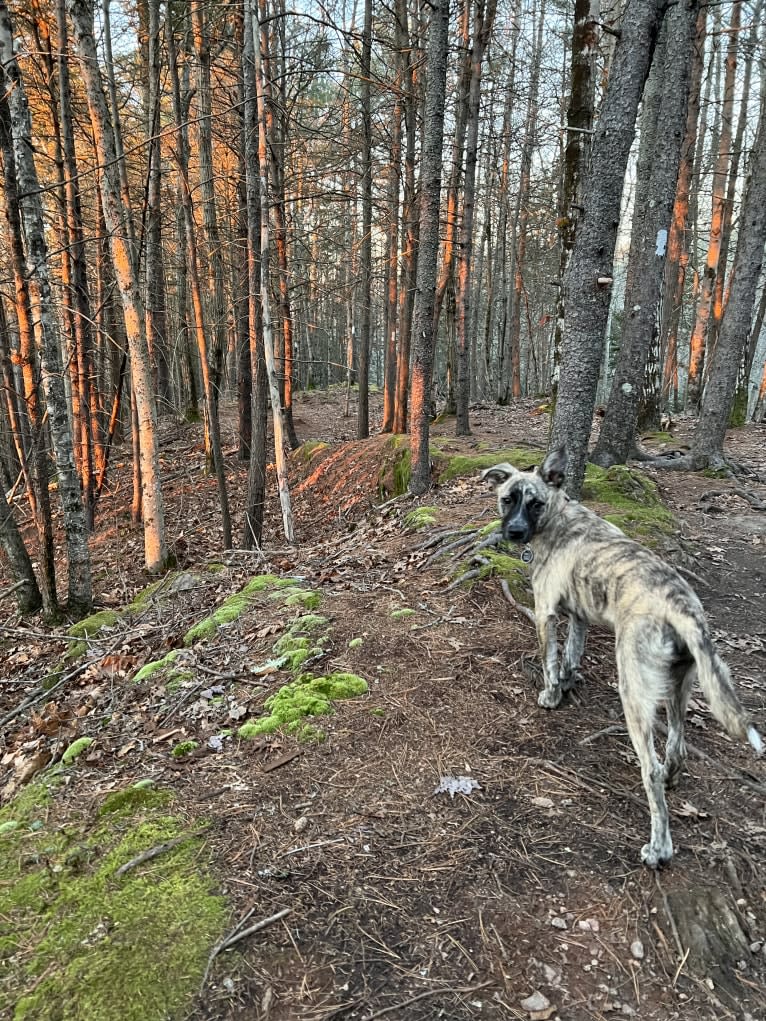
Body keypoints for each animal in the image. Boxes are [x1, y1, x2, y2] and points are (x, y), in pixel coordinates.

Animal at [482, 447, 763, 869]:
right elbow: (571, 655)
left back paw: (658, 848)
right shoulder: (579, 617)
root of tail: (682, 608)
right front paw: (568, 683)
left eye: (535, 504)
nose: (513, 532)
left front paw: (551, 696)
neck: (559, 520)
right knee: (676, 747)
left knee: (651, 770)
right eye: (507, 499)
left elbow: (551, 661)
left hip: (633, 691)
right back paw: (672, 778)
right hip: (679, 688)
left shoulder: (546, 613)